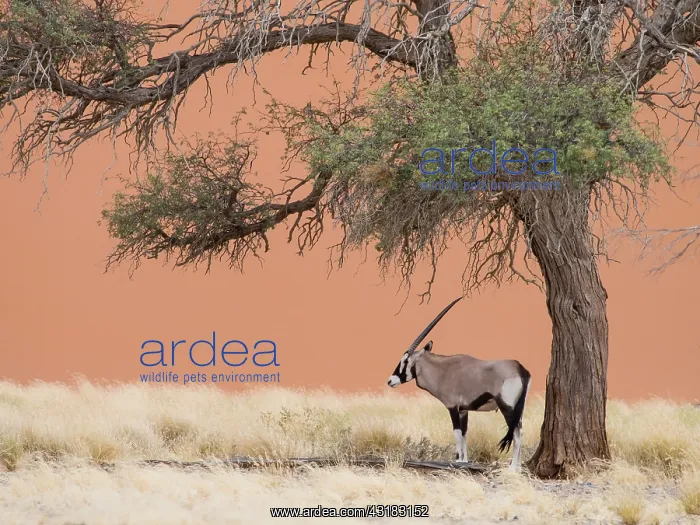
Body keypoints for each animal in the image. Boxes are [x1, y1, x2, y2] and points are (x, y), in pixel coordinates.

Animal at [387, 297, 531, 471]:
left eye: (406, 361)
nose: (390, 381)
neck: (443, 370)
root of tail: (520, 369)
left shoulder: (452, 407)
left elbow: (456, 433)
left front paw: (457, 461)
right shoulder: (463, 410)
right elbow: (464, 433)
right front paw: (464, 461)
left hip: (507, 407)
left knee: (516, 432)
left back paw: (513, 467)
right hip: (518, 408)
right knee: (520, 430)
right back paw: (518, 466)